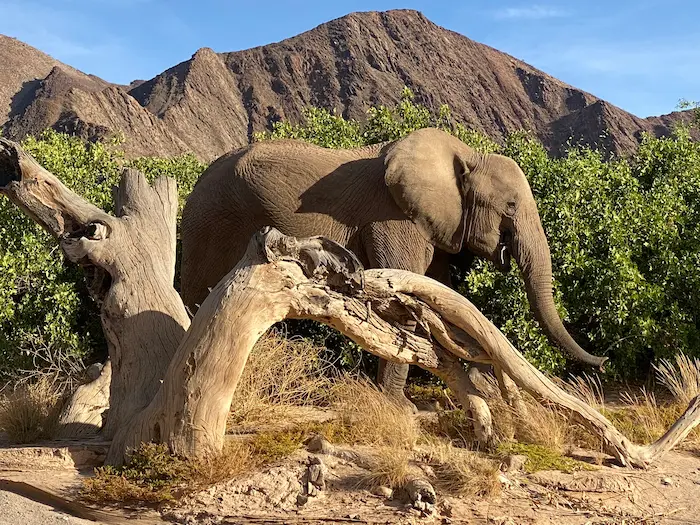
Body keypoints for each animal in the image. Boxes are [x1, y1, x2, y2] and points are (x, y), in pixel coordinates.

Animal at [180, 127, 607, 406]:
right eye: (512, 206)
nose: (601, 362)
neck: (466, 156)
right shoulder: (393, 216)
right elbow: (405, 297)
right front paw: (399, 407)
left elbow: (440, 295)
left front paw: (478, 386)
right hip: (209, 221)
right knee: (200, 296)